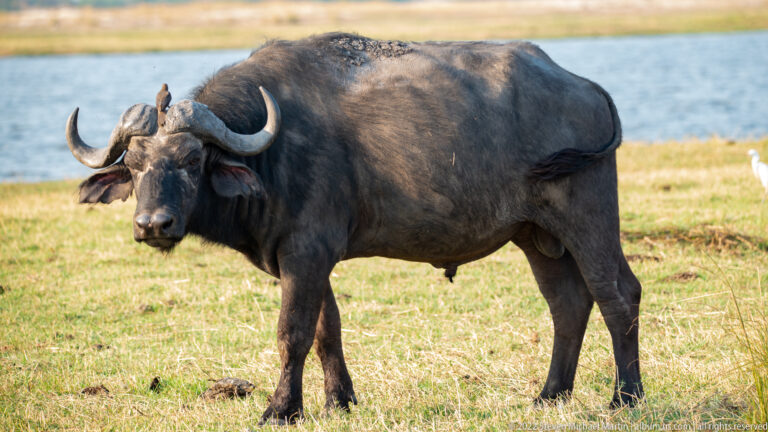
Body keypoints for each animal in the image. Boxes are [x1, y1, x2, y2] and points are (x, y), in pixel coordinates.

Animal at [66, 33, 643, 424]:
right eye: (134, 163)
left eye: (191, 159)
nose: (152, 224)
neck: (273, 150)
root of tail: (584, 87)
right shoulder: (304, 259)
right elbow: (327, 330)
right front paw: (338, 400)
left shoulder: (305, 253)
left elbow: (293, 332)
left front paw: (280, 409)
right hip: (537, 236)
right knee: (568, 303)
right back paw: (550, 395)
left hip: (588, 215)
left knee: (618, 294)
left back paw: (626, 396)